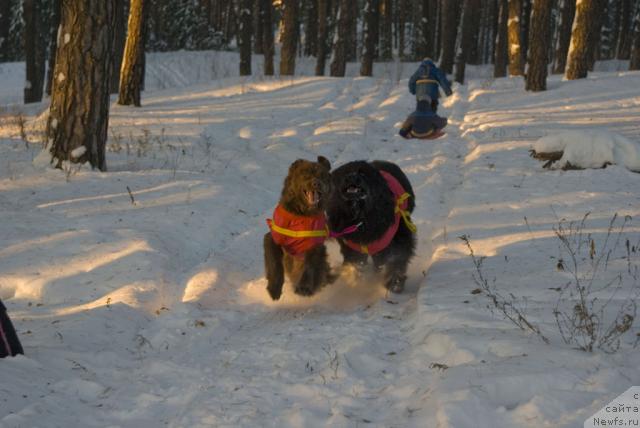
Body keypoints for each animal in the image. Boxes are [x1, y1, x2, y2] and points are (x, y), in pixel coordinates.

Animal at [264, 155, 336, 300]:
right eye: (305, 174)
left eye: (322, 176)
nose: (316, 183)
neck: (301, 216)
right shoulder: (273, 237)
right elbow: (275, 263)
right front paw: (274, 289)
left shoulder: (314, 246)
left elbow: (309, 266)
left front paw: (304, 288)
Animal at [328, 160, 418, 294]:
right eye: (344, 173)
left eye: (363, 173)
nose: (351, 177)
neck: (361, 217)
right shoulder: (351, 247)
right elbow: (356, 263)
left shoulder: (399, 239)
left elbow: (396, 260)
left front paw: (394, 284)